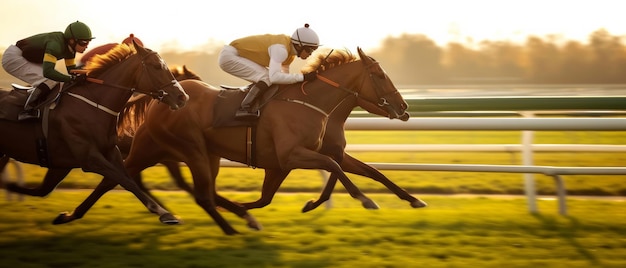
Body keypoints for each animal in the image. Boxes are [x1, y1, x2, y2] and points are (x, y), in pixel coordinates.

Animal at [0, 42, 189, 225]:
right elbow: (125, 181)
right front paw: (164, 213)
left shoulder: (79, 160)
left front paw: (67, 216)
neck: (94, 105)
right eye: (156, 66)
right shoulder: (90, 158)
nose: (183, 97)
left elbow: (113, 181)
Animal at [59, 47, 420, 234]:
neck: (309, 102)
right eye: (379, 75)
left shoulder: (287, 163)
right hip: (182, 149)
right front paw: (364, 199)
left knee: (122, 177)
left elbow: (370, 171)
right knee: (135, 179)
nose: (403, 108)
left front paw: (413, 200)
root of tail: (161, 98)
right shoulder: (292, 155)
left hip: (181, 151)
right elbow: (334, 169)